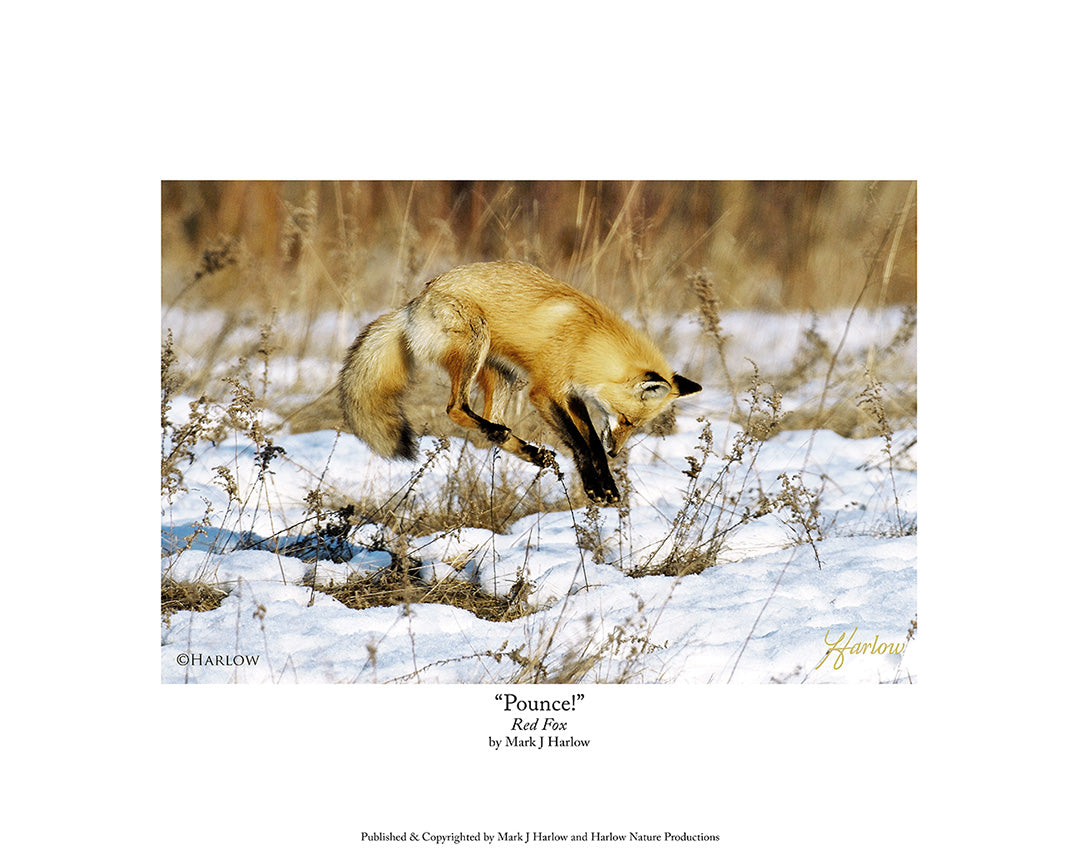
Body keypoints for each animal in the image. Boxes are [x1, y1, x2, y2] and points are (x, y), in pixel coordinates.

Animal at [338, 260, 701, 504]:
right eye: (626, 420)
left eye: (635, 425)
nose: (617, 452)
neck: (586, 342)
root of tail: (414, 303)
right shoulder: (544, 392)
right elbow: (581, 444)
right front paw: (594, 487)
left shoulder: (571, 395)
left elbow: (591, 443)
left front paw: (607, 485)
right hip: (476, 345)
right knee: (456, 408)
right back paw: (504, 435)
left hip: (502, 375)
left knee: (490, 423)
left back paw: (530, 451)